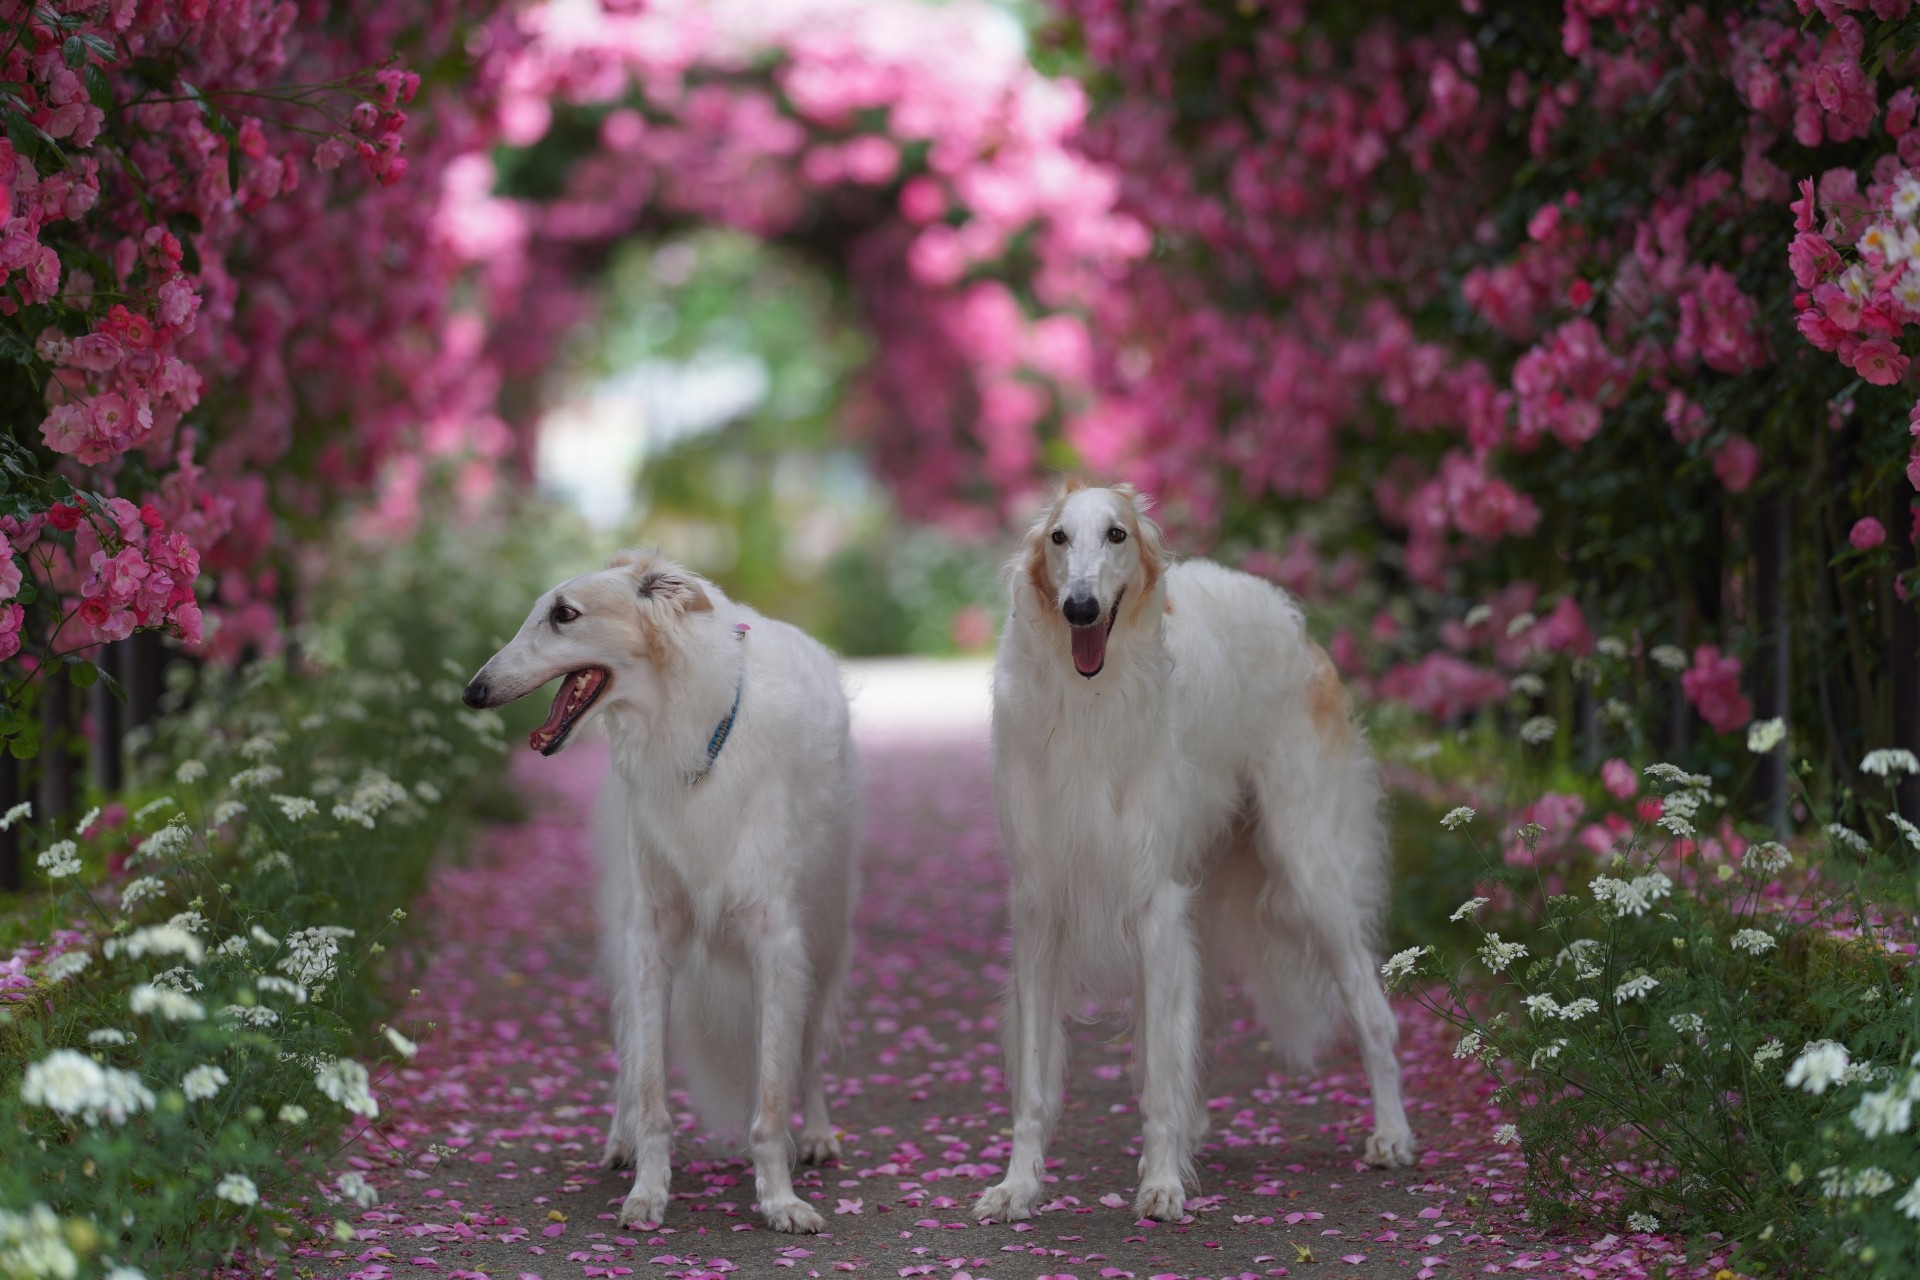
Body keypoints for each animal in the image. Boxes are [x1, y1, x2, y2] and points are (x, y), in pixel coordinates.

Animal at [464, 552, 856, 1228]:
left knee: (807, 1052)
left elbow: (771, 1098)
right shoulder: (651, 931)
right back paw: (620, 1141)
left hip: (826, 935)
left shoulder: (777, 938)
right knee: (628, 1048)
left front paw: (780, 1199)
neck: (691, 735)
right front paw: (648, 1191)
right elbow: (649, 1087)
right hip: (625, 933)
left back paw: (816, 1134)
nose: (473, 692)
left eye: (563, 614)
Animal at [975, 485, 1413, 1228]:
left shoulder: (1154, 901)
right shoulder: (1040, 906)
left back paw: (1391, 1134)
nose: (1080, 607)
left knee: (1370, 1008)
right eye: (1058, 538)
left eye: (1116, 534)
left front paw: (1161, 1183)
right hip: (1204, 897)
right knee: (1194, 1028)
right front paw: (1018, 1186)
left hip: (1309, 870)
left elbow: (1157, 1070)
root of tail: (1288, 614)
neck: (1090, 700)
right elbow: (1037, 1080)